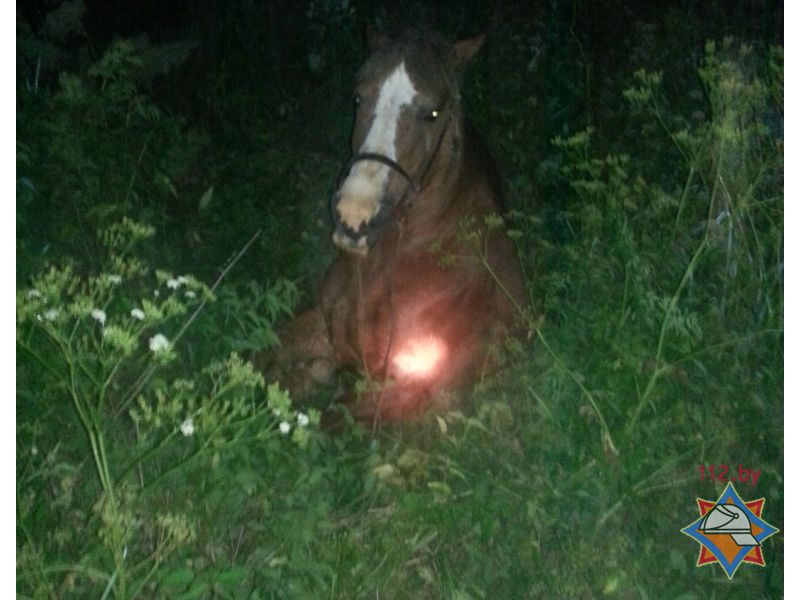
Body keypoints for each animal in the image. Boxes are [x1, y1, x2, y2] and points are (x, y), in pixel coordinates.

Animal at [262, 28, 526, 423]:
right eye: (358, 97)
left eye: (433, 112)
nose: (354, 217)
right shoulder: (318, 323)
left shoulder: (417, 386)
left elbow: (330, 416)